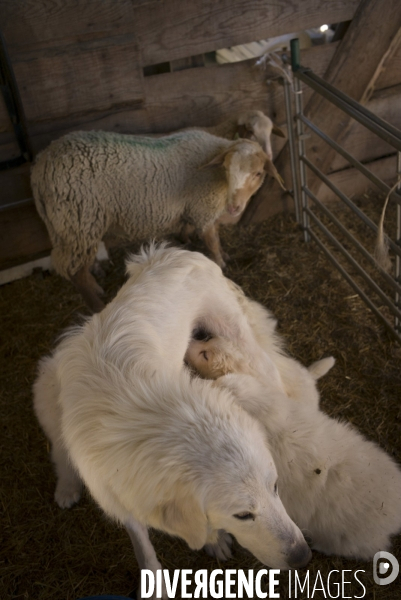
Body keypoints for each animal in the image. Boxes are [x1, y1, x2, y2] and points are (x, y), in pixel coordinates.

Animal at [32, 129, 276, 312]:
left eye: (258, 174)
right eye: (226, 168)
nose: (234, 207)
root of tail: (40, 165)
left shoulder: (201, 209)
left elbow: (208, 231)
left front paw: (216, 252)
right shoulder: (203, 208)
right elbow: (212, 241)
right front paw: (221, 264)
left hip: (74, 224)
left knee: (80, 264)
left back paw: (96, 285)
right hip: (78, 217)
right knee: (74, 272)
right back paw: (97, 305)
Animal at [33, 245, 310, 600]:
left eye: (275, 487)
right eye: (243, 515)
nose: (304, 556)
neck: (143, 417)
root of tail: (173, 252)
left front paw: (214, 541)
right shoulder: (119, 491)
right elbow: (144, 546)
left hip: (236, 337)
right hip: (47, 393)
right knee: (59, 451)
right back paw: (67, 488)